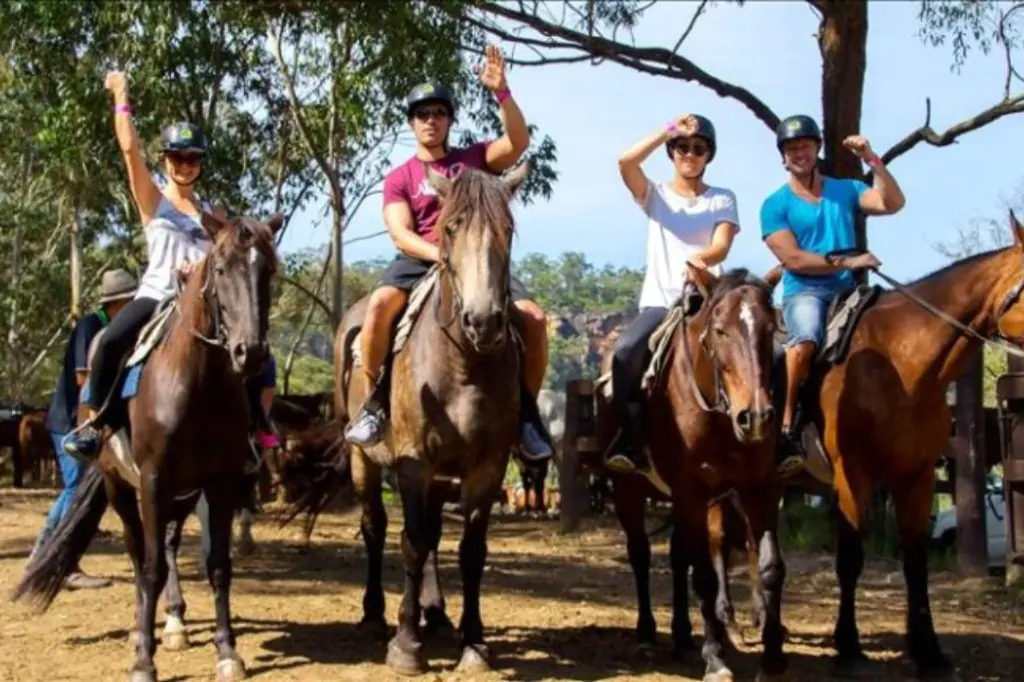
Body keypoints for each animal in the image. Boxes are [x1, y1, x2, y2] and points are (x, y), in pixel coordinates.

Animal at [11, 212, 284, 679]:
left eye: (267, 271)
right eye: (221, 269)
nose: (249, 353)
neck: (198, 383)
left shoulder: (221, 483)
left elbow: (218, 565)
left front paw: (227, 652)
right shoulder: (153, 481)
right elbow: (151, 568)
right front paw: (144, 659)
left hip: (181, 493)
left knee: (169, 547)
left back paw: (173, 623)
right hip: (121, 487)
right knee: (141, 558)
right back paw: (145, 631)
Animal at [593, 264, 782, 679]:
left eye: (771, 328)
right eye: (720, 330)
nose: (756, 416)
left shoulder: (757, 489)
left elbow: (770, 567)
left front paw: (774, 656)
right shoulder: (692, 492)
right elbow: (706, 577)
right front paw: (716, 659)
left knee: (679, 555)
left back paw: (681, 635)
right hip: (628, 489)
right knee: (640, 553)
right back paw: (647, 634)